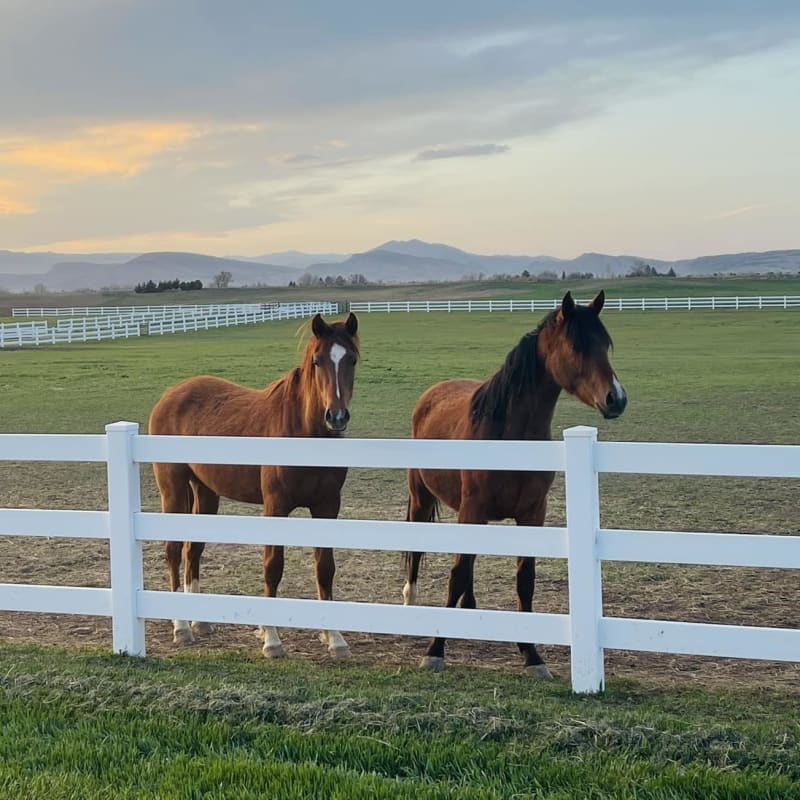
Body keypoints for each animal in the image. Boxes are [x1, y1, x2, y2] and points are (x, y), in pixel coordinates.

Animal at [148, 310, 360, 656]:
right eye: (317, 361)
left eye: (351, 359)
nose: (336, 417)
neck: (302, 431)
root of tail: (170, 394)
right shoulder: (275, 506)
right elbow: (273, 566)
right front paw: (271, 638)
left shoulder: (327, 506)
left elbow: (325, 568)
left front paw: (335, 638)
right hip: (173, 489)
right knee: (174, 550)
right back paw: (181, 627)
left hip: (206, 492)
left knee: (194, 550)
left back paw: (199, 621)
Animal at [406, 290, 624, 680]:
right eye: (577, 345)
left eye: (606, 344)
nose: (616, 398)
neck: (507, 433)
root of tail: (432, 393)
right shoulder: (473, 508)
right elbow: (457, 573)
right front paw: (435, 651)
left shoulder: (532, 513)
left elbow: (525, 580)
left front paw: (532, 655)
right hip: (423, 498)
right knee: (419, 551)